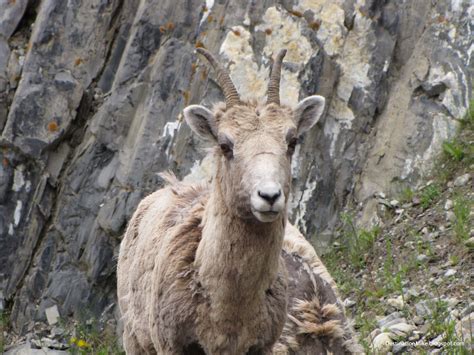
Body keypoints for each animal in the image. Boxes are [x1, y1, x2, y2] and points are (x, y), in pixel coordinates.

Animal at [117, 48, 360, 354]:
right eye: (225, 145)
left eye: (292, 141)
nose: (269, 196)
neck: (227, 316)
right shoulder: (171, 345)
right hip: (134, 338)